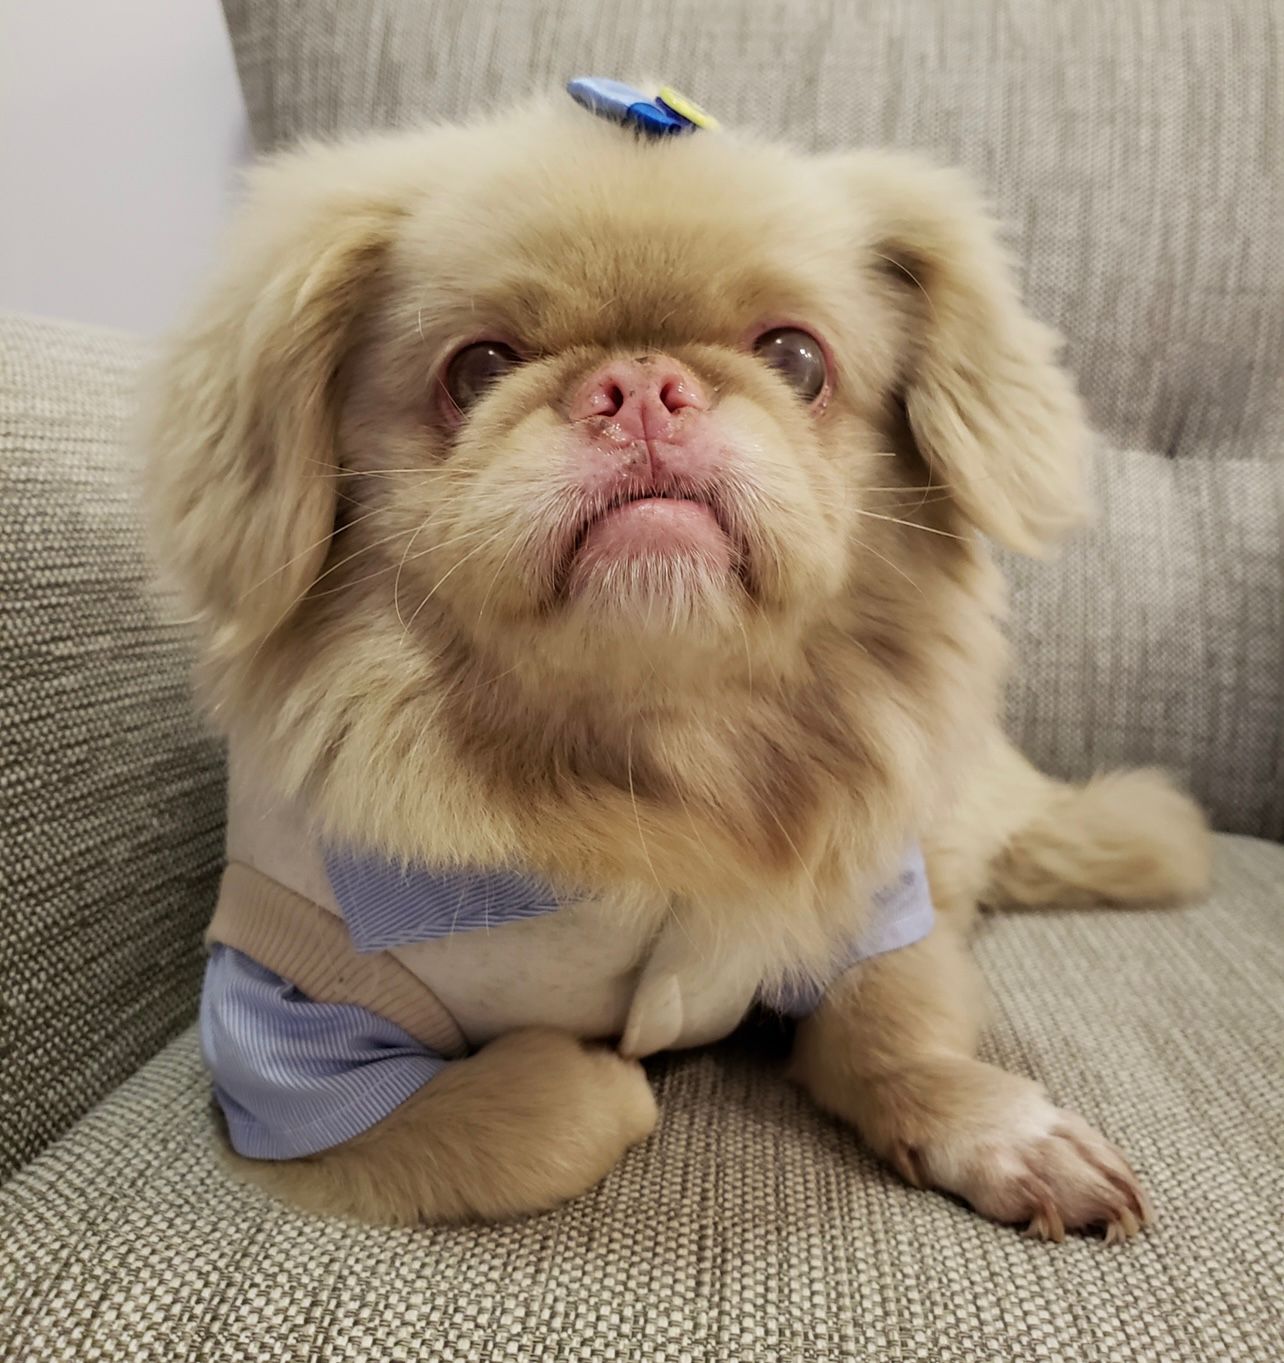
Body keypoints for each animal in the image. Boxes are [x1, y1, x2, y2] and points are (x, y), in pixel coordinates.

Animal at [144, 88, 1210, 1240]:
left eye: (796, 358)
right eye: (477, 369)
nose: (646, 384)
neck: (654, 752)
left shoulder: (875, 908)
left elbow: (894, 1026)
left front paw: (1001, 1129)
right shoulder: (281, 1052)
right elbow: (540, 1113)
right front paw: (605, 1078)